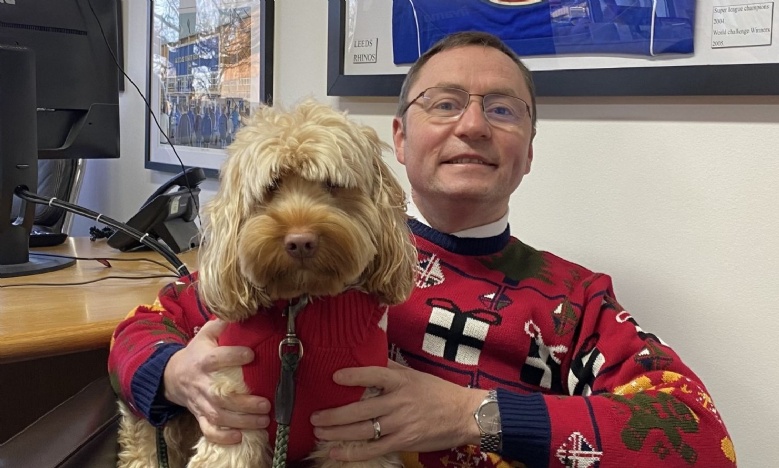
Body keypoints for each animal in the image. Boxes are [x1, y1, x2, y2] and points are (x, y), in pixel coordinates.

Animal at [117, 99, 417, 468]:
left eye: (331, 185)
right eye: (272, 187)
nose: (300, 242)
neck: (298, 316)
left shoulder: (355, 432)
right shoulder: (234, 418)